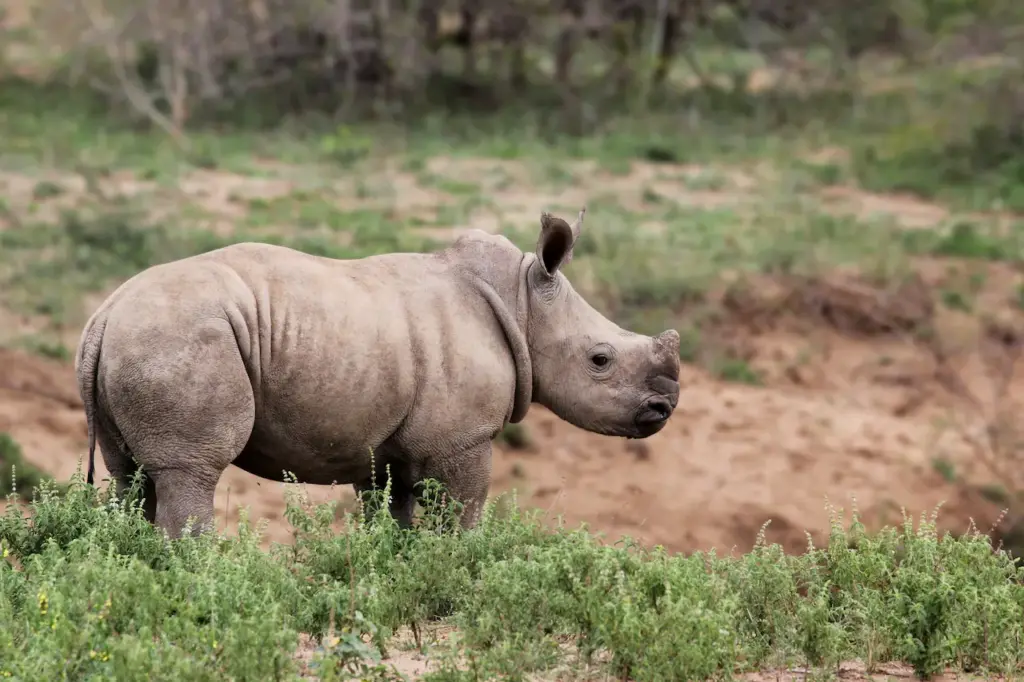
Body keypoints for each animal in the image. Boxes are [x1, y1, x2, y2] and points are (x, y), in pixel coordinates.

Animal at [72, 206, 679, 536]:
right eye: (600, 360)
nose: (665, 406)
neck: (523, 302)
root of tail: (102, 316)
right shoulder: (462, 439)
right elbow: (464, 512)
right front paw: (461, 566)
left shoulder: (389, 445)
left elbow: (394, 515)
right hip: (180, 338)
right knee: (191, 470)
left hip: (140, 342)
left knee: (131, 476)